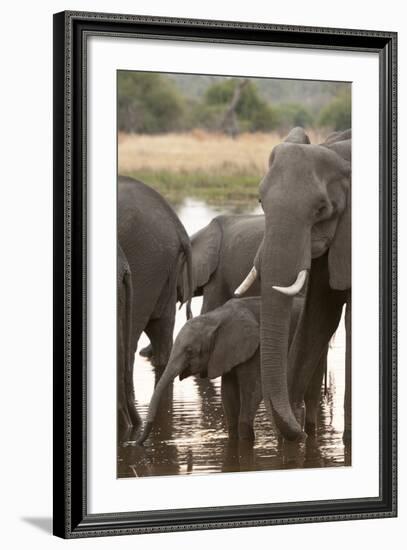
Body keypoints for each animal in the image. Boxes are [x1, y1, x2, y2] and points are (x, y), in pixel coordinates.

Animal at [137, 298, 306, 444]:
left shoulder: (256, 350)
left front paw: (245, 440)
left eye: (189, 351)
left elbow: (252, 390)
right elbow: (228, 394)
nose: (136, 442)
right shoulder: (224, 354)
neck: (216, 317)